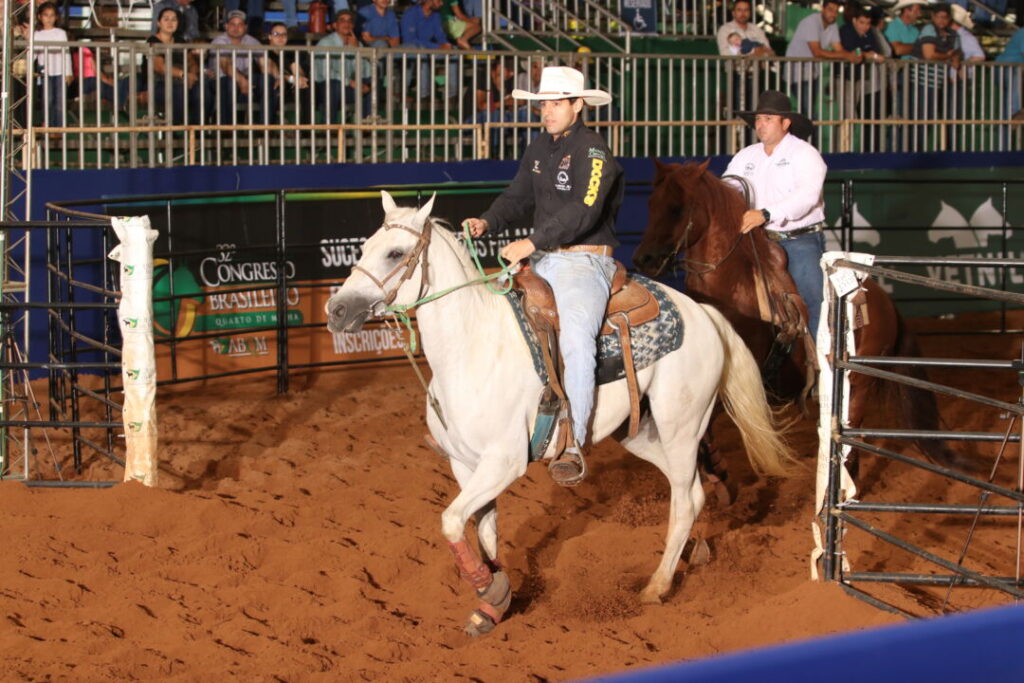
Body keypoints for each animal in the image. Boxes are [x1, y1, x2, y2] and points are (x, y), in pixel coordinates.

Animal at [325, 190, 797, 636]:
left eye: (395, 253)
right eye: (363, 247)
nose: (336, 310)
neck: (472, 347)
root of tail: (704, 314)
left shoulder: (504, 462)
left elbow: (451, 521)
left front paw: (490, 591)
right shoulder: (465, 465)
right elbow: (482, 530)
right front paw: (494, 603)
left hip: (681, 426)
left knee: (683, 501)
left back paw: (657, 586)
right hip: (641, 432)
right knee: (693, 492)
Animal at [632, 159, 963, 473]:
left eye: (677, 208)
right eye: (650, 204)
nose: (643, 259)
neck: (733, 285)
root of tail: (886, 301)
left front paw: (716, 469)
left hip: (858, 385)